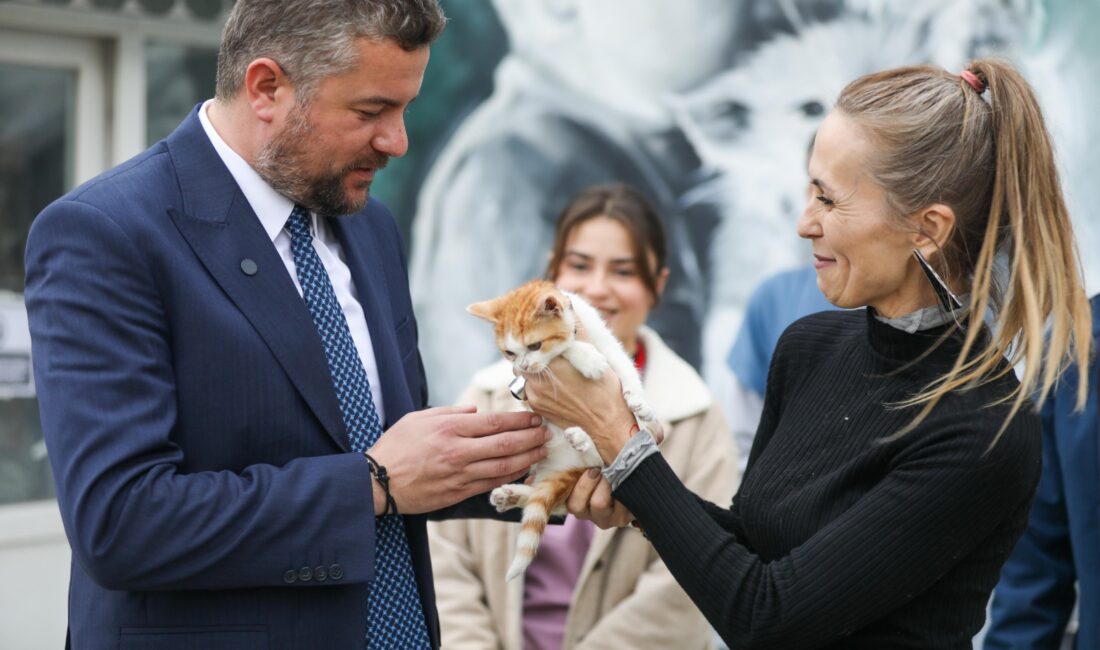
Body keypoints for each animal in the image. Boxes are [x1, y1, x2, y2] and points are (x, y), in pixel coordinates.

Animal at [466, 279, 660, 580]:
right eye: (510, 353)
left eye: (534, 345)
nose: (522, 365)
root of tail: (572, 466)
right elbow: (566, 349)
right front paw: (586, 357)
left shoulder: (607, 342)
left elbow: (624, 368)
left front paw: (639, 404)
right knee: (560, 494)